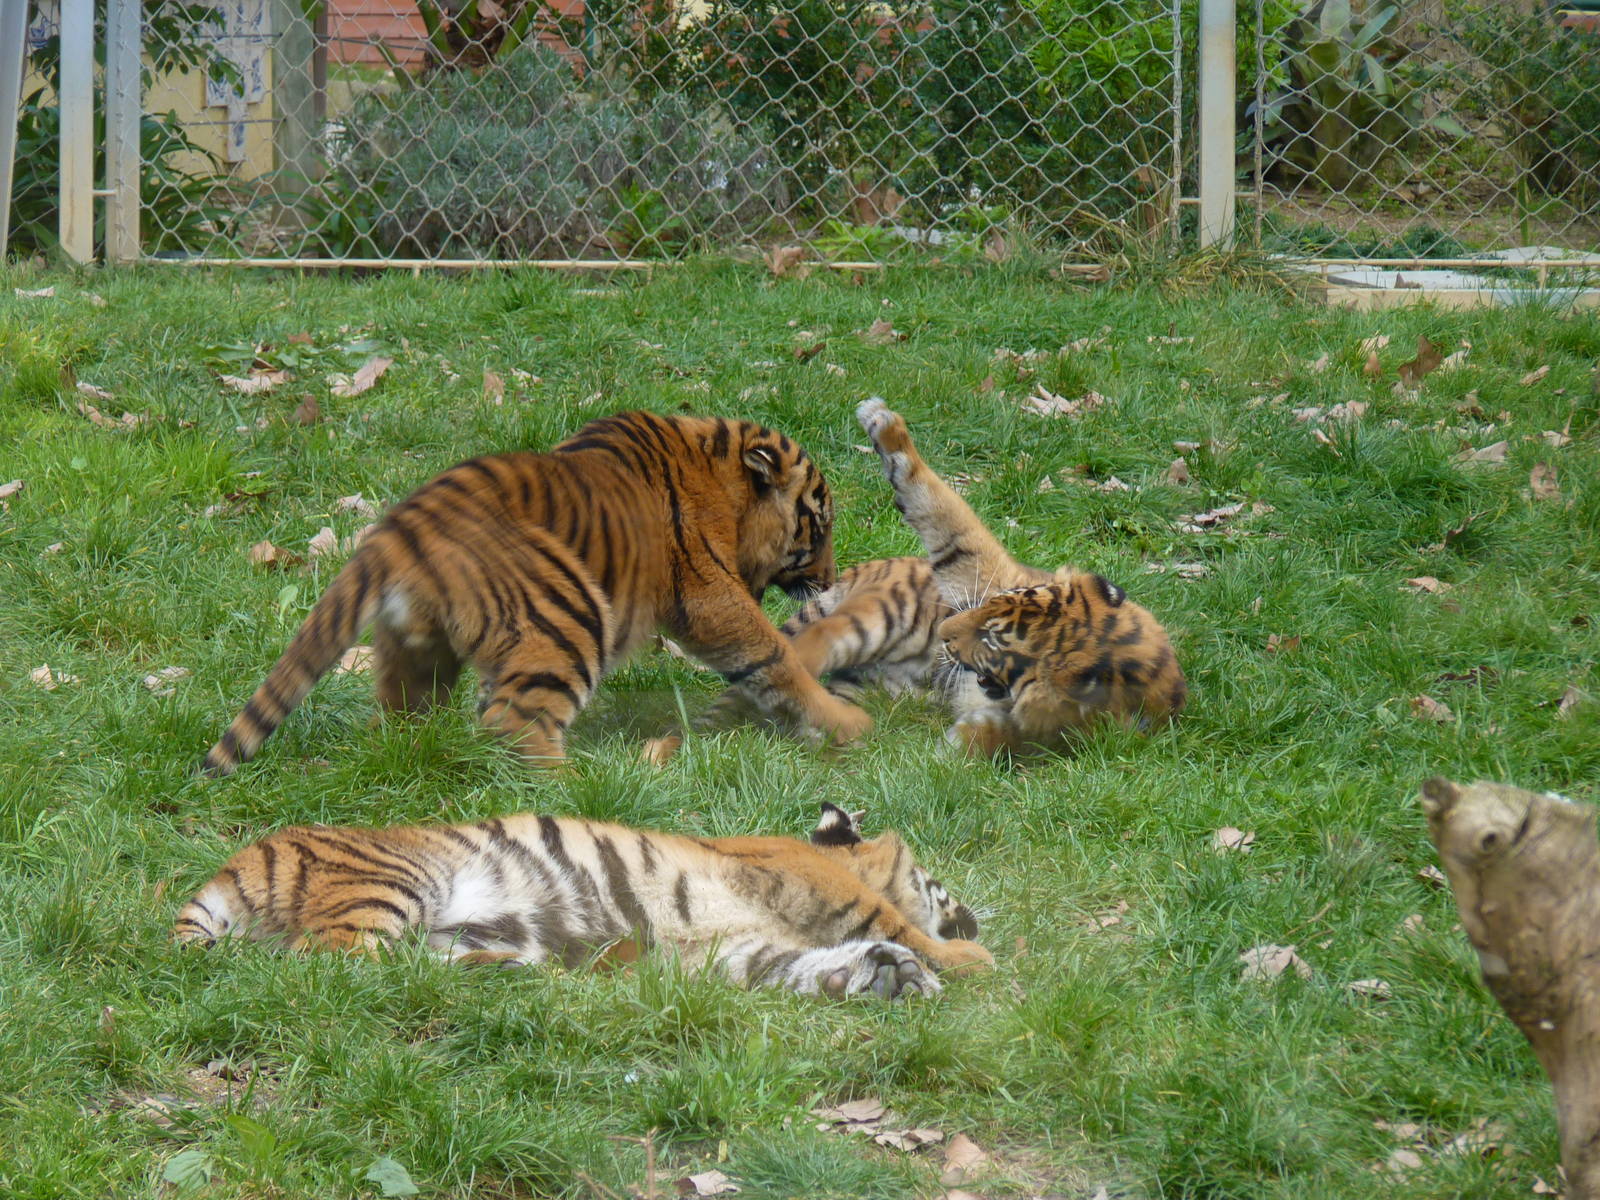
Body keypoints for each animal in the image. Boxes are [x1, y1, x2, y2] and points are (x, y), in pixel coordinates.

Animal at [200, 410, 871, 776]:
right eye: (819, 526)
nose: (831, 578)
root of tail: (403, 523)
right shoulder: (710, 598)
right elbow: (775, 657)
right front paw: (846, 723)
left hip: (417, 649)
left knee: (406, 717)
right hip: (569, 616)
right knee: (512, 722)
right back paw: (585, 789)